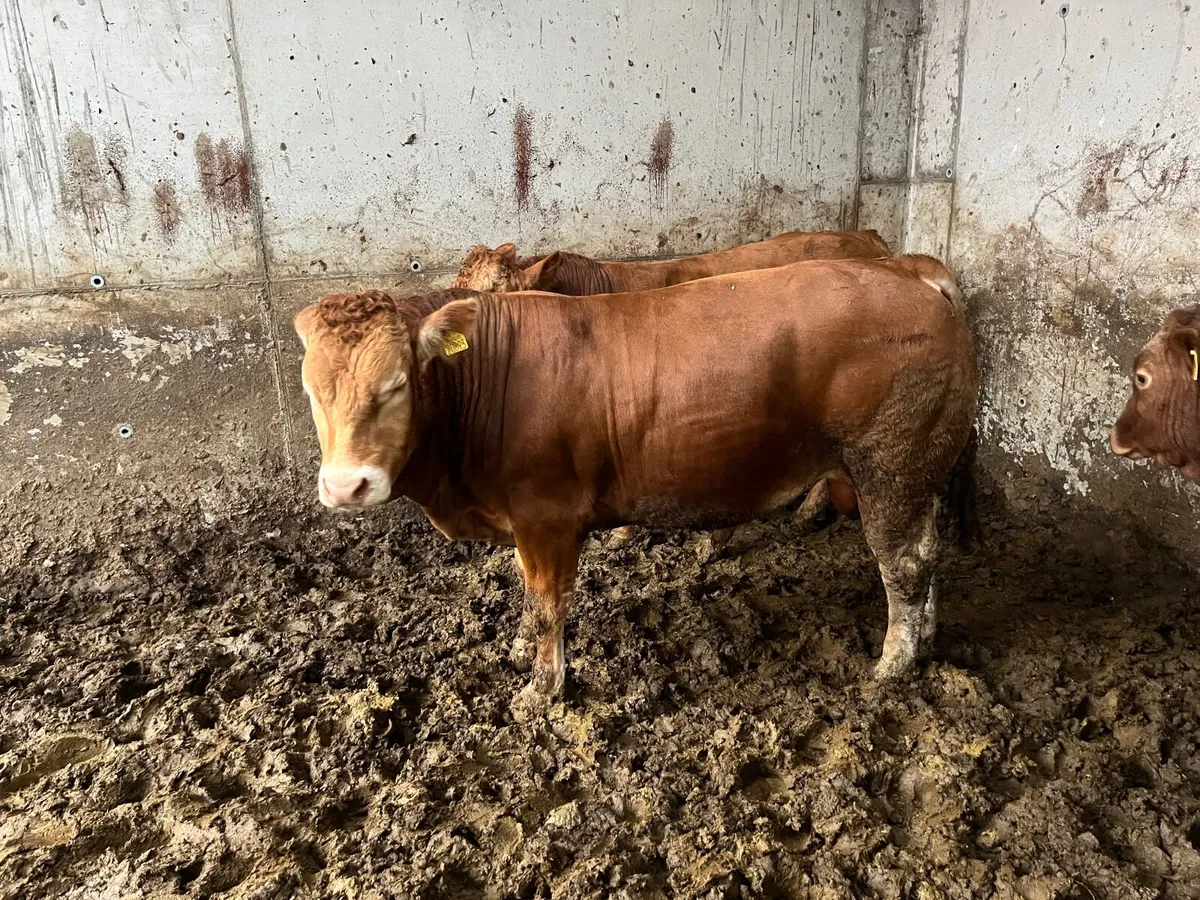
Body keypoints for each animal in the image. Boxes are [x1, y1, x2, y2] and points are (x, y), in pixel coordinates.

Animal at [294, 255, 979, 711]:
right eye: (309, 389)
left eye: (396, 384)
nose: (346, 487)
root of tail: (910, 274)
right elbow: (528, 598)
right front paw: (519, 651)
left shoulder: (546, 515)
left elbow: (547, 605)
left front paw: (541, 691)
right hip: (921, 468)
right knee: (928, 551)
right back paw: (926, 637)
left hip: (888, 463)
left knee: (902, 563)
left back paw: (892, 665)